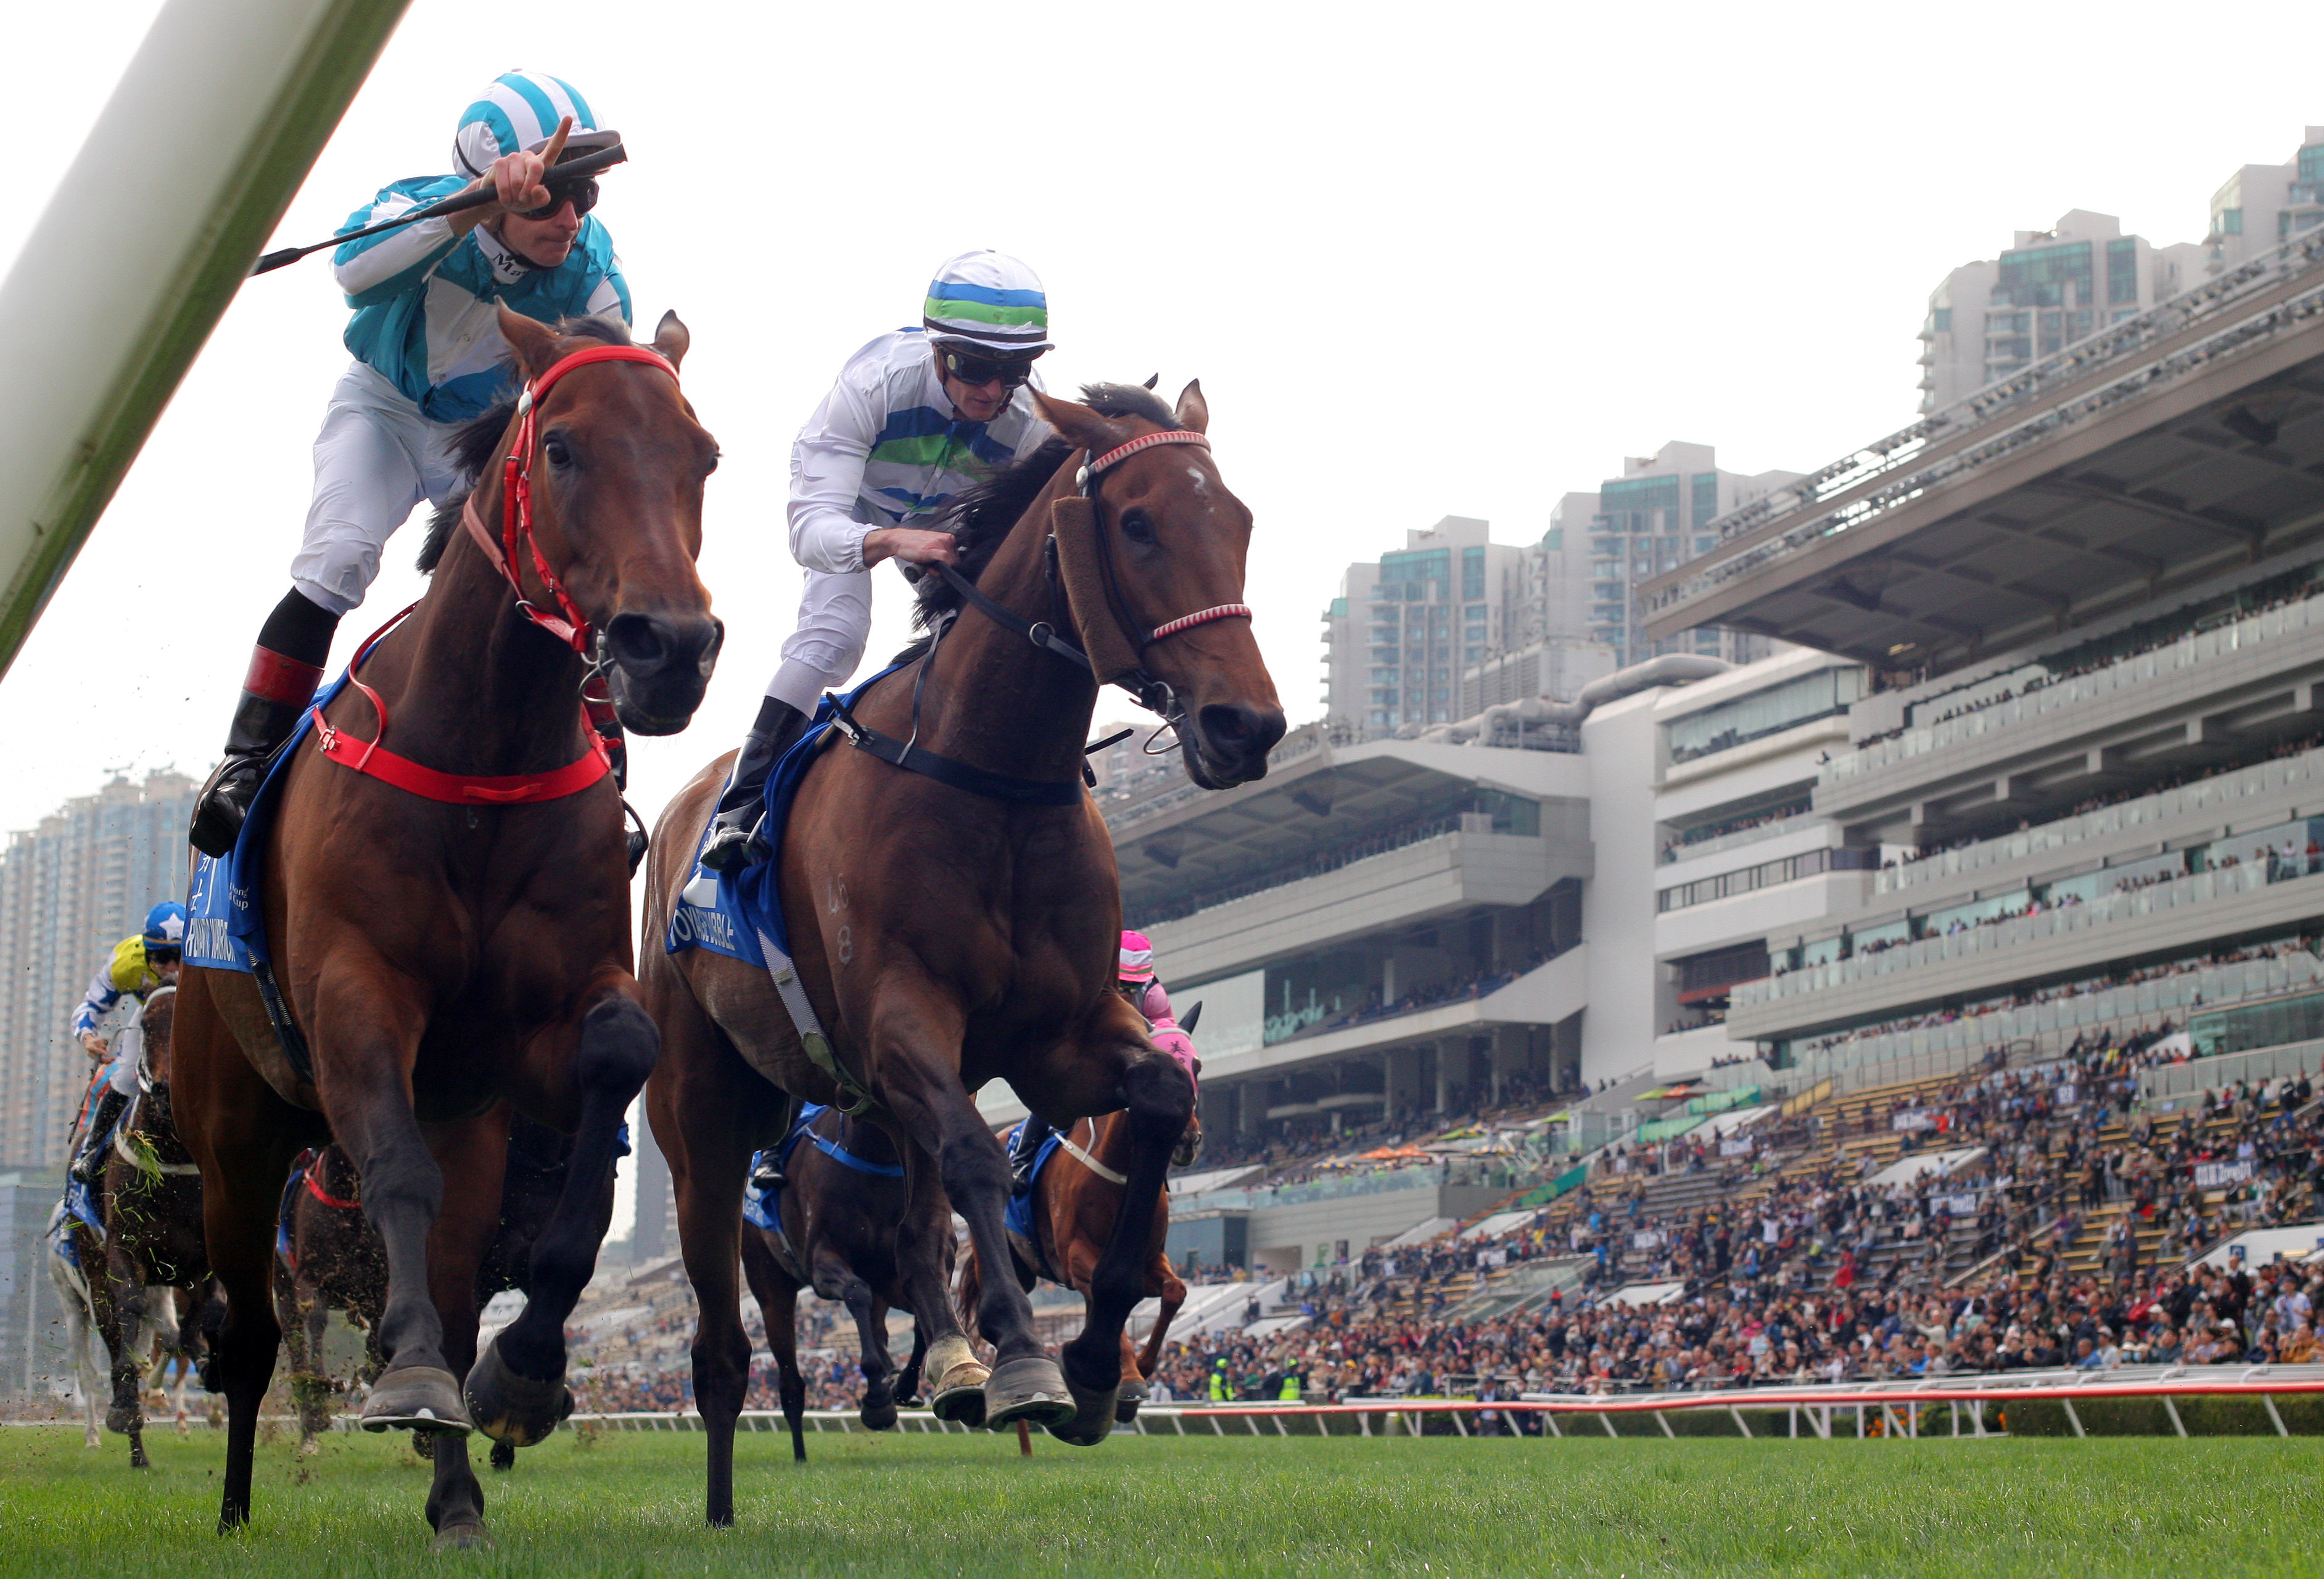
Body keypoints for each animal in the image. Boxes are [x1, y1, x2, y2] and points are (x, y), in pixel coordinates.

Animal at [178, 309, 720, 1544]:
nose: (669, 647)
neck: (482, 750)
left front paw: (520, 1376)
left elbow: (616, 1061)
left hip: (462, 1119)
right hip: (233, 1140)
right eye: (561, 448)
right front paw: (413, 1375)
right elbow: (393, 1174)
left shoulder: (537, 1029)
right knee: (250, 1337)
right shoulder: (355, 996)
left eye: (703, 455)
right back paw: (230, 1508)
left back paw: (459, 1492)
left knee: (460, 1270)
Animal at [739, 1107, 966, 1460]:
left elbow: (920, 1321)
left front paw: (902, 1385)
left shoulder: (899, 1268)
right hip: (769, 1285)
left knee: (879, 1327)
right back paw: (800, 1454)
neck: (876, 1156)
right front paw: (876, 1399)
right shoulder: (822, 1260)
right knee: (791, 1381)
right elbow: (857, 1294)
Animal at [952, 1111, 1190, 1432]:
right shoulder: (1075, 1258)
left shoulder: (1149, 1260)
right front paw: (1129, 1379)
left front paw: (1140, 1367)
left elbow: (1174, 1292)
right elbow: (1110, 1295)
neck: (1117, 1169)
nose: (1189, 1141)